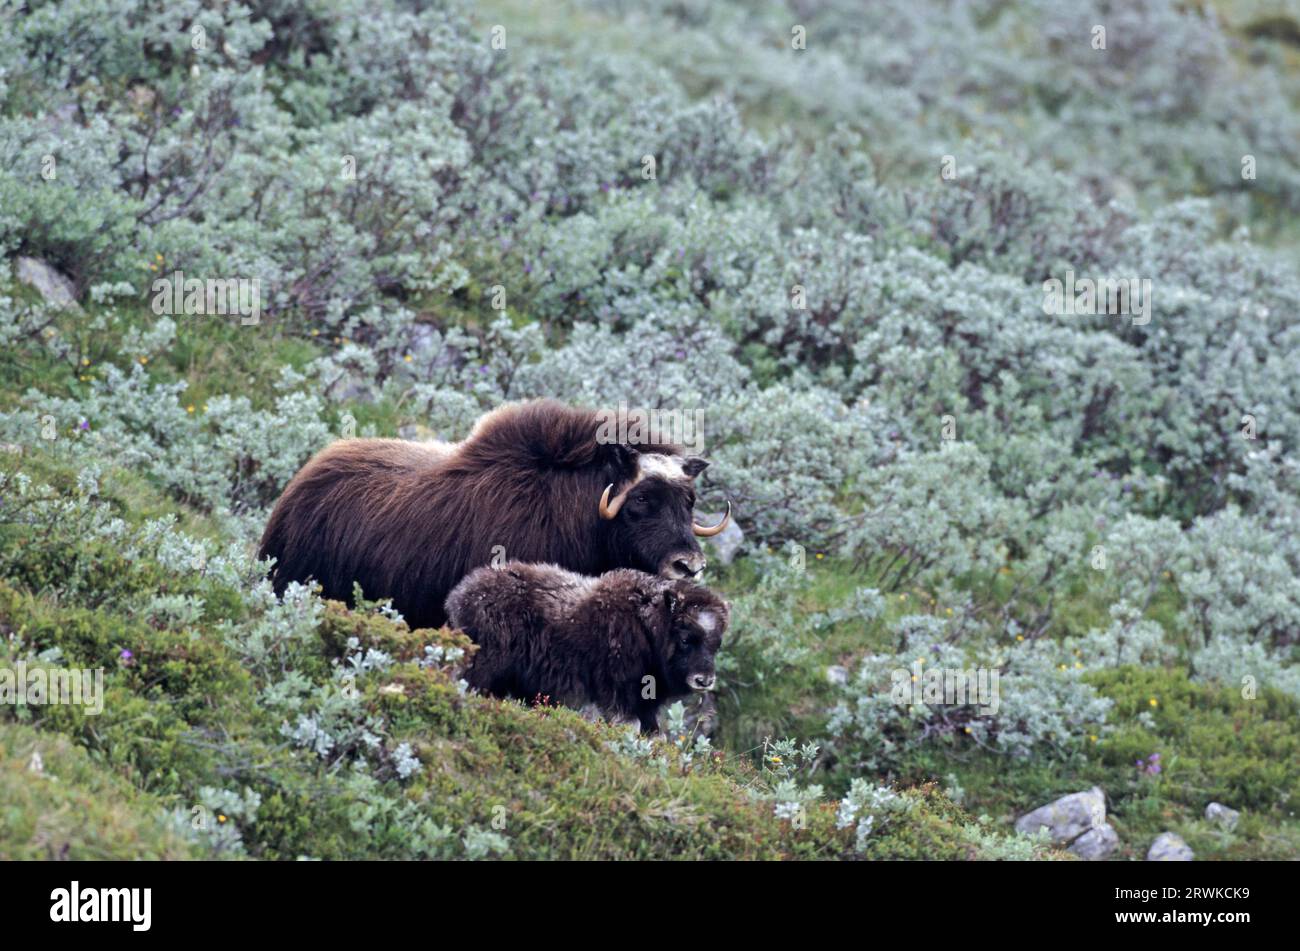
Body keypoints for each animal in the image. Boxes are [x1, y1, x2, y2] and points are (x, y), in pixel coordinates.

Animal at [447, 561, 733, 732]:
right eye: (685, 639)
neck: (648, 627)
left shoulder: (645, 703)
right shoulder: (619, 694)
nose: (704, 680)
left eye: (717, 643)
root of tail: (460, 595)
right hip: (483, 666)